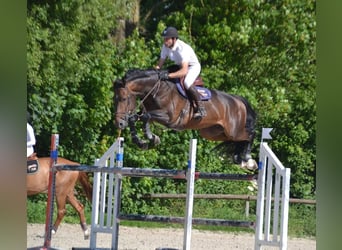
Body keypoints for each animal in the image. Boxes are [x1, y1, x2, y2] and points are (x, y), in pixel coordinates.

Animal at [113, 68, 258, 170]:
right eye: (114, 99)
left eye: (124, 99)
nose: (119, 123)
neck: (157, 90)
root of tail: (238, 100)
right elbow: (134, 119)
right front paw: (142, 142)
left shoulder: (170, 118)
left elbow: (146, 116)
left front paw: (151, 138)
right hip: (214, 133)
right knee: (240, 140)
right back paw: (239, 159)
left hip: (234, 131)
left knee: (250, 134)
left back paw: (249, 160)